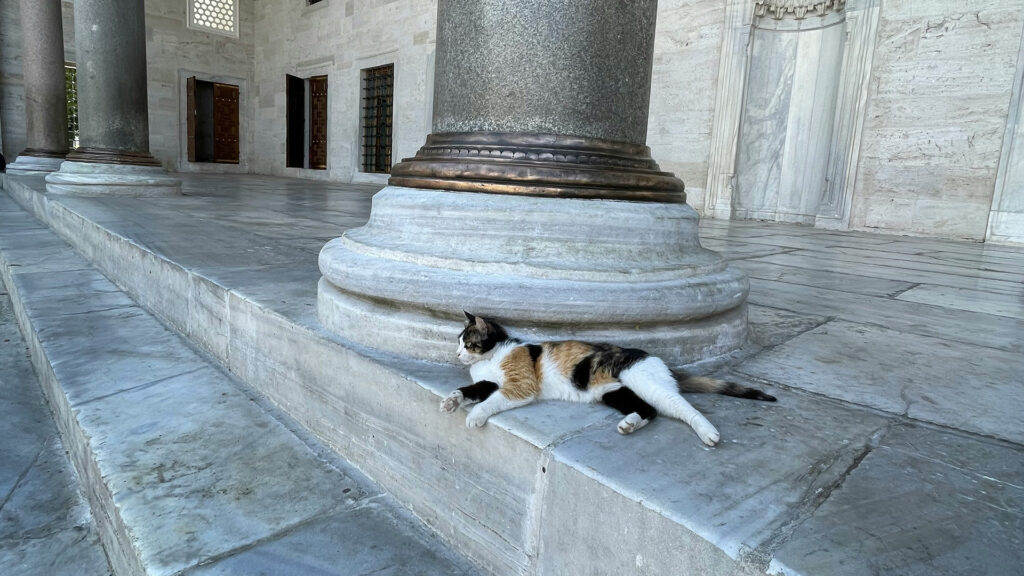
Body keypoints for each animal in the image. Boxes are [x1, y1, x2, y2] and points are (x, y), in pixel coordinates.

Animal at [440, 311, 774, 446]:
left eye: (467, 343)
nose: (456, 354)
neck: (492, 356)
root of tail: (657, 359)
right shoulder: (488, 382)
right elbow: (470, 388)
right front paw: (451, 401)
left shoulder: (520, 386)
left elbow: (491, 400)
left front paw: (475, 416)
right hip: (612, 391)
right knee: (649, 410)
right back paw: (629, 424)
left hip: (645, 382)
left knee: (680, 406)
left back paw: (708, 433)